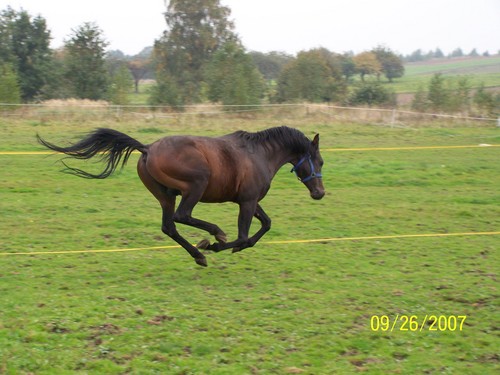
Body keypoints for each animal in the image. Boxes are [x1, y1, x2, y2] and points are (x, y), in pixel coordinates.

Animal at [40, 127, 328, 268]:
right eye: (320, 161)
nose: (320, 193)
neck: (259, 154)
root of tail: (148, 148)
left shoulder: (251, 200)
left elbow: (265, 225)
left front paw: (226, 247)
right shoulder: (247, 201)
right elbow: (244, 236)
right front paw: (218, 245)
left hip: (164, 195)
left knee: (169, 226)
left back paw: (198, 255)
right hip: (195, 186)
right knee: (183, 215)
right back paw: (212, 235)